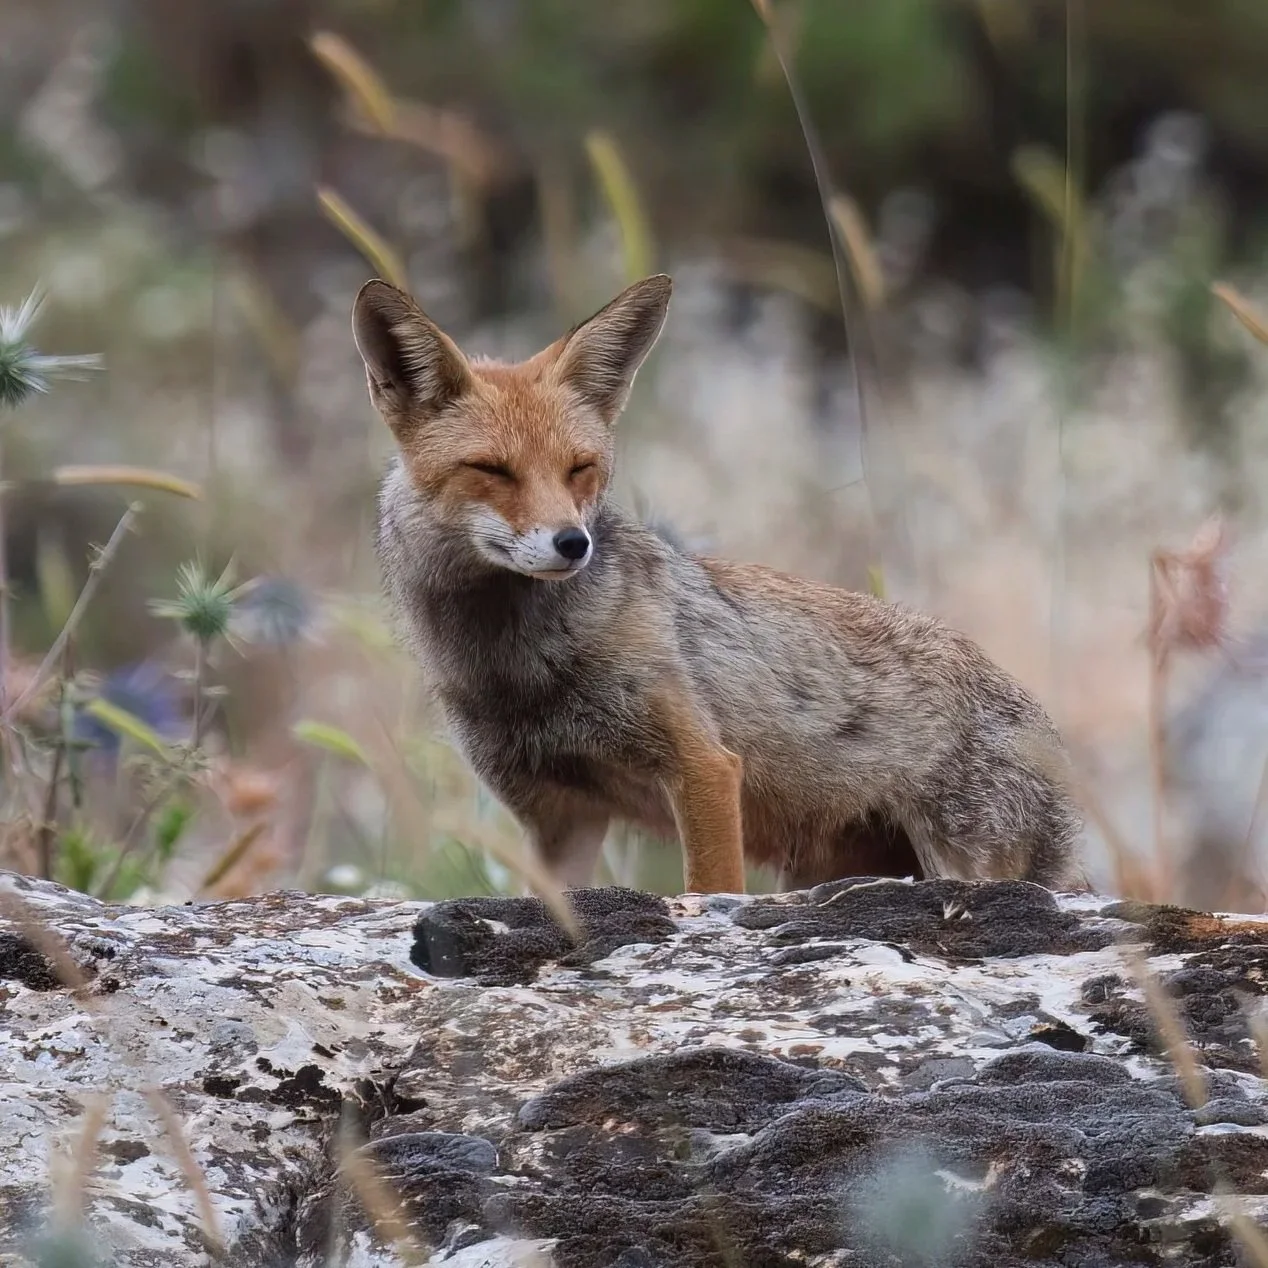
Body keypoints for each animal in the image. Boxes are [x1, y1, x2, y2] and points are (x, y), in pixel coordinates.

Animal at [353, 272, 1086, 896]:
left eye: (580, 469)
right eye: (492, 470)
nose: (573, 543)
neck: (517, 669)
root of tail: (1046, 729)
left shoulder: (703, 766)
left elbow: (711, 889)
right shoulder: (559, 814)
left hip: (959, 864)